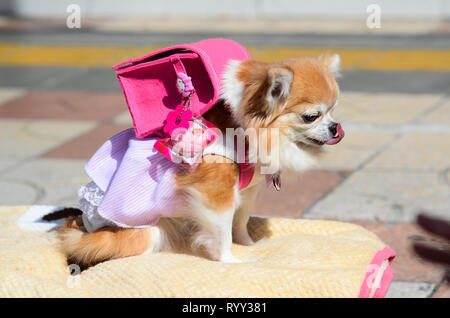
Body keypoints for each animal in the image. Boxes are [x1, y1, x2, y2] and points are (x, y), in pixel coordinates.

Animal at [57, 54, 344, 268]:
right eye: (311, 116)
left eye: (333, 110)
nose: (335, 127)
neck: (243, 131)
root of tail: (84, 224)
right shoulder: (216, 195)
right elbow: (223, 233)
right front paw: (231, 261)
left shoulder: (245, 193)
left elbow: (240, 223)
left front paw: (250, 245)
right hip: (144, 232)